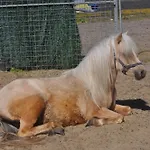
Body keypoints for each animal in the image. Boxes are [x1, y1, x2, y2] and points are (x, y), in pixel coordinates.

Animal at [0, 32, 146, 138]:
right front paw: (93, 122)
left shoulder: (112, 106)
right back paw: (55, 126)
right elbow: (119, 117)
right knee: (23, 132)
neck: (95, 82)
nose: (142, 72)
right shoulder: (95, 110)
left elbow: (128, 110)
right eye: (125, 53)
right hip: (35, 104)